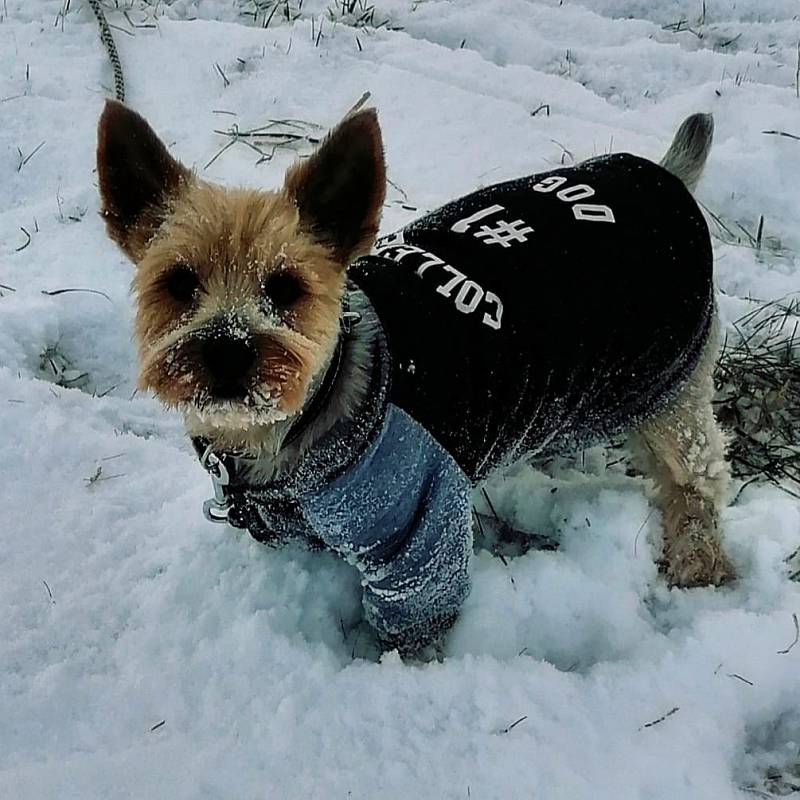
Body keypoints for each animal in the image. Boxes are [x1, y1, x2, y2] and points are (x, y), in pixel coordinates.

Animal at [97, 101, 736, 656]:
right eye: (179, 283)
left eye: (286, 288)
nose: (228, 353)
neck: (295, 421)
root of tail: (666, 176)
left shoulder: (416, 529)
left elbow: (416, 610)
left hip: (670, 376)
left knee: (695, 477)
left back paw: (699, 566)